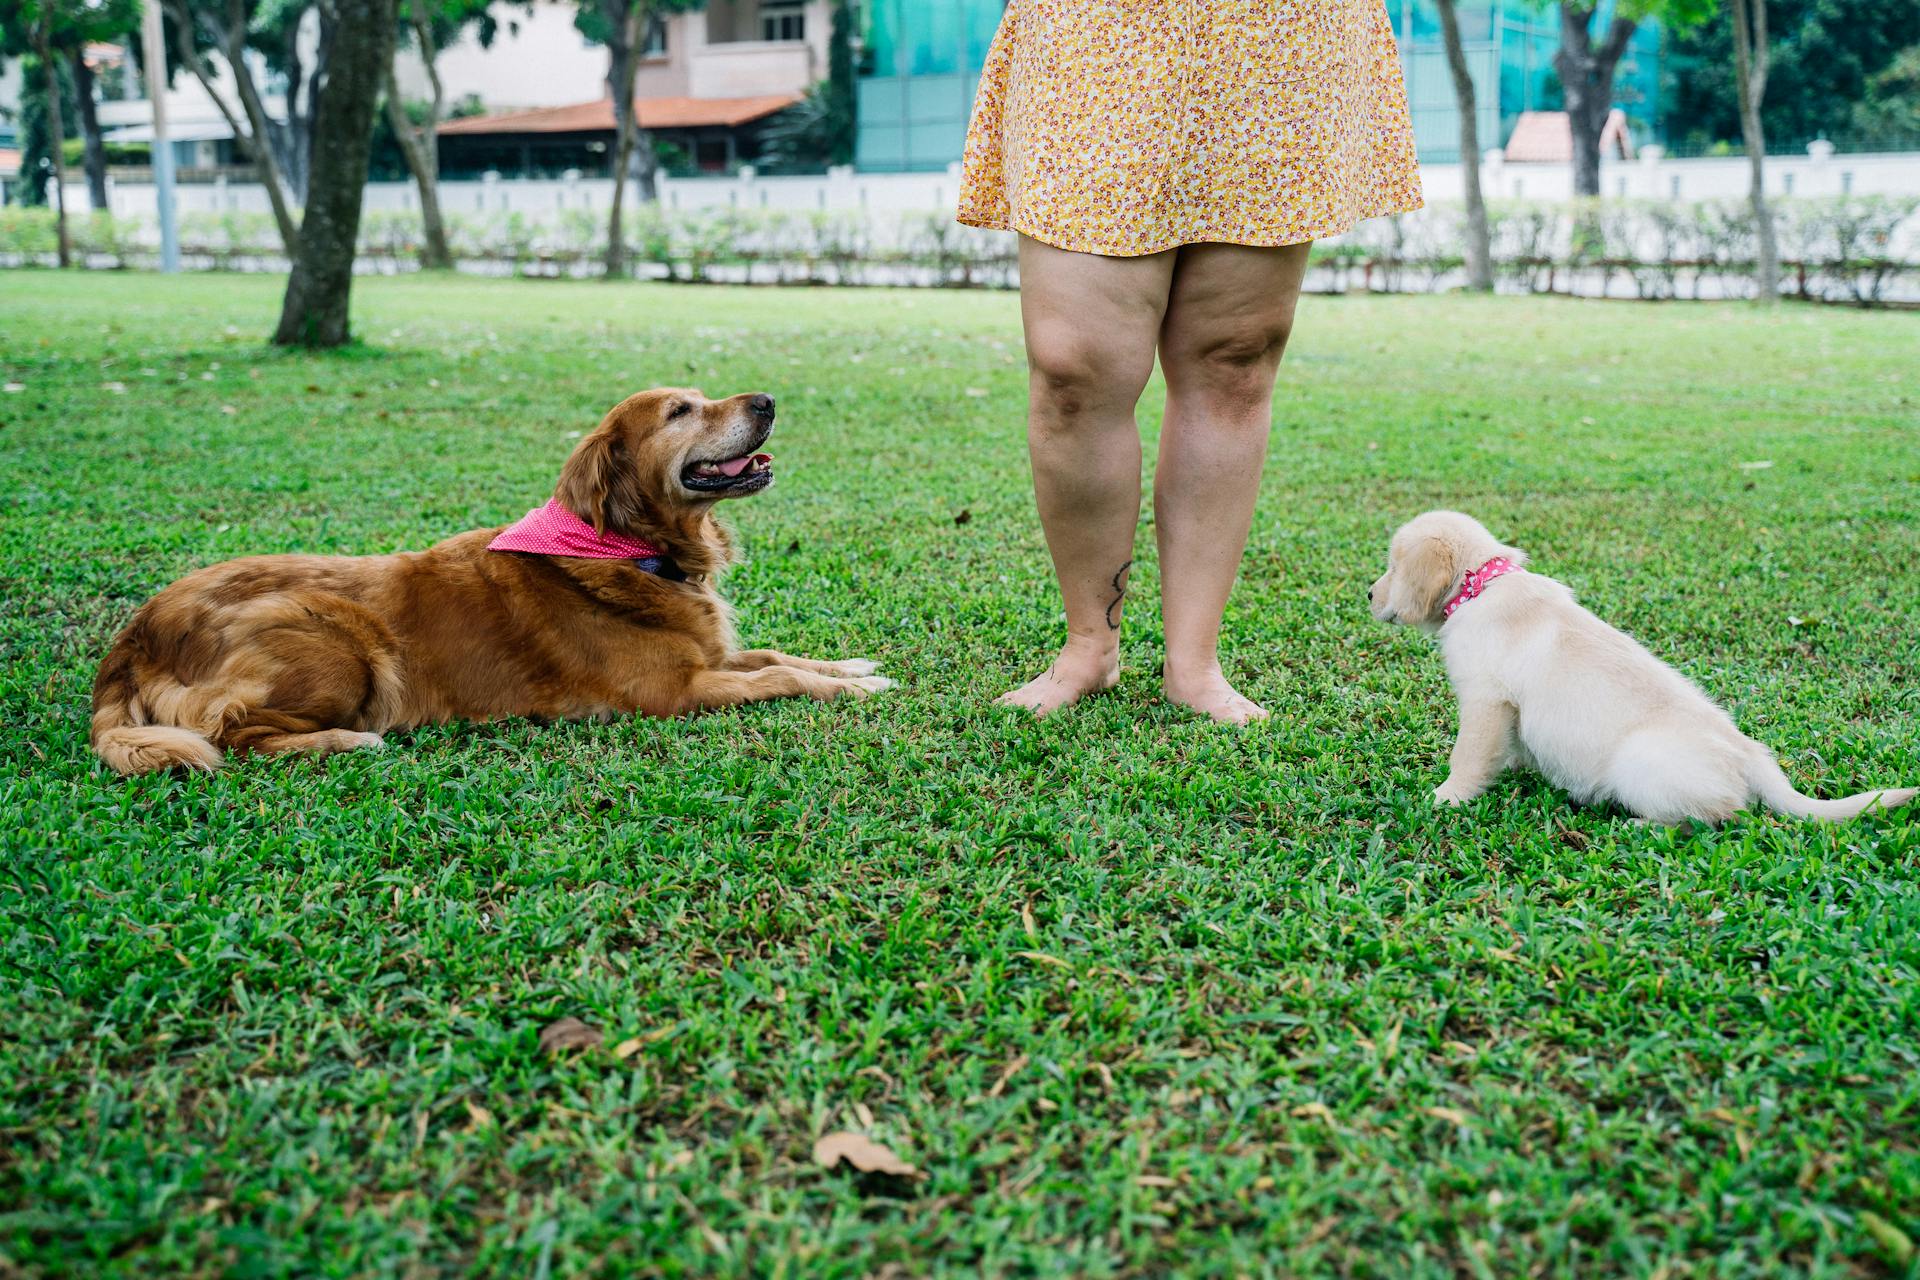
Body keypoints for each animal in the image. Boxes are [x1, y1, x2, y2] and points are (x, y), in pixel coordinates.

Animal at [1374, 514, 1912, 825]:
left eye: (1393, 567)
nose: (1367, 594)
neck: (1480, 584)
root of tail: (1750, 756)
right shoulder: (1505, 712)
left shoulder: (1486, 700)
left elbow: (1466, 756)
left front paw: (1447, 796)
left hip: (1640, 765)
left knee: (1719, 817)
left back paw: (1641, 825)